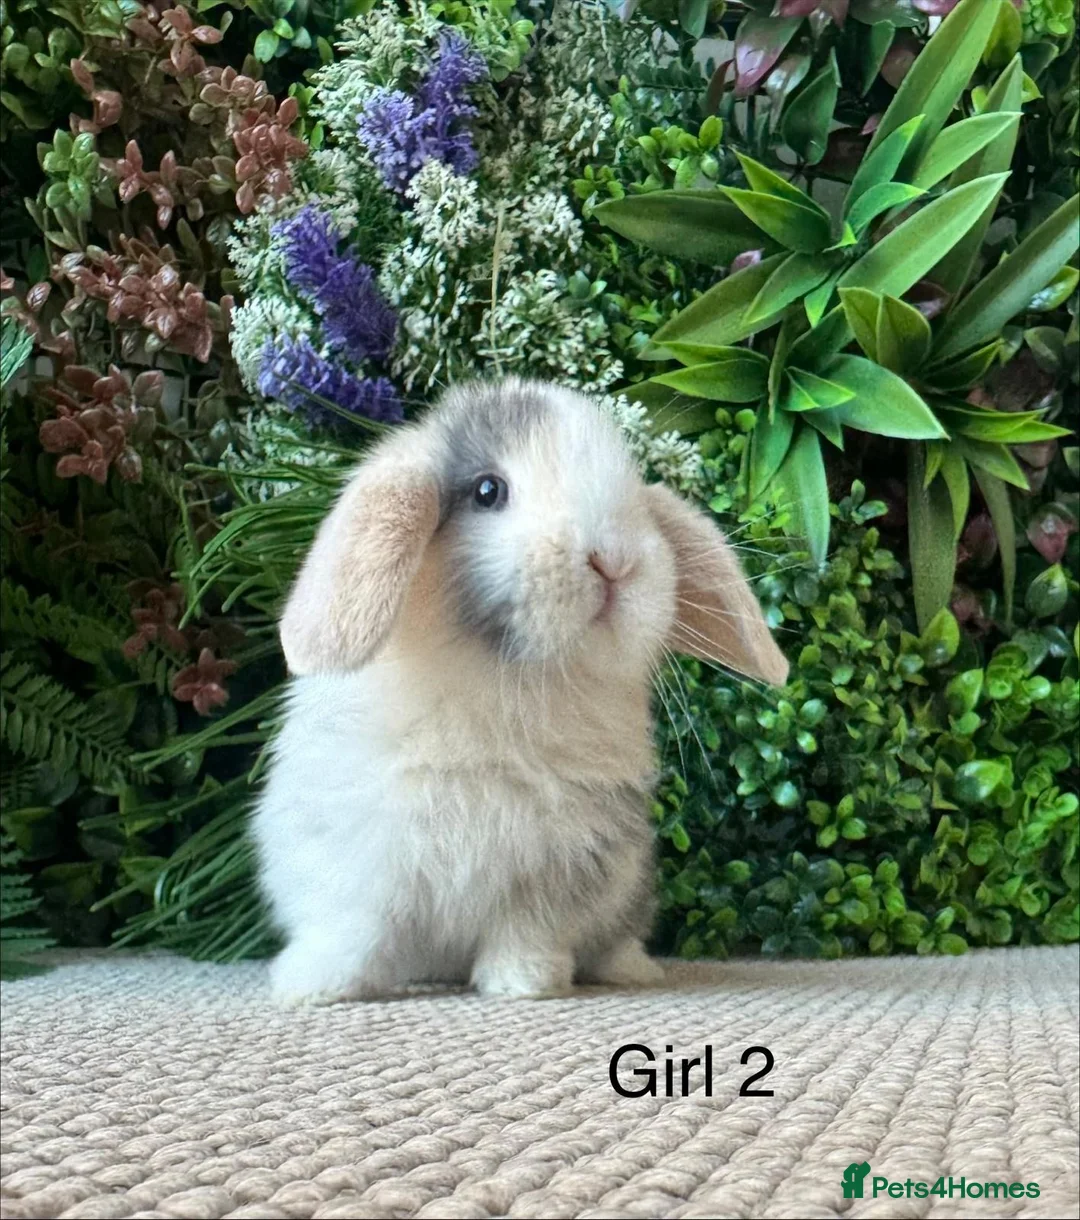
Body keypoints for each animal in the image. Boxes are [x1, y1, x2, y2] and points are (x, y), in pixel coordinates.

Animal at [253, 377, 789, 1005]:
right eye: (488, 491)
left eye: (635, 498)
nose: (616, 561)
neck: (504, 679)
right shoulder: (358, 859)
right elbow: (355, 930)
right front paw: (312, 988)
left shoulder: (562, 865)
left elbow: (526, 929)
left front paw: (524, 984)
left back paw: (632, 968)